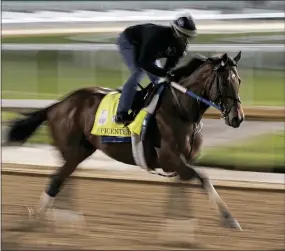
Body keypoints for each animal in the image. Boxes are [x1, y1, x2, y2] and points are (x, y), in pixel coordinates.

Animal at [6, 52, 244, 230]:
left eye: (239, 81)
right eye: (225, 81)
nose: (238, 118)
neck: (180, 110)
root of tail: (56, 106)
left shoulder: (183, 163)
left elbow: (180, 192)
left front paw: (179, 229)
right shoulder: (171, 159)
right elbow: (203, 178)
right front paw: (229, 219)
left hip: (80, 151)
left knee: (63, 179)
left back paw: (64, 220)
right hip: (72, 151)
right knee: (57, 180)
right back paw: (45, 218)